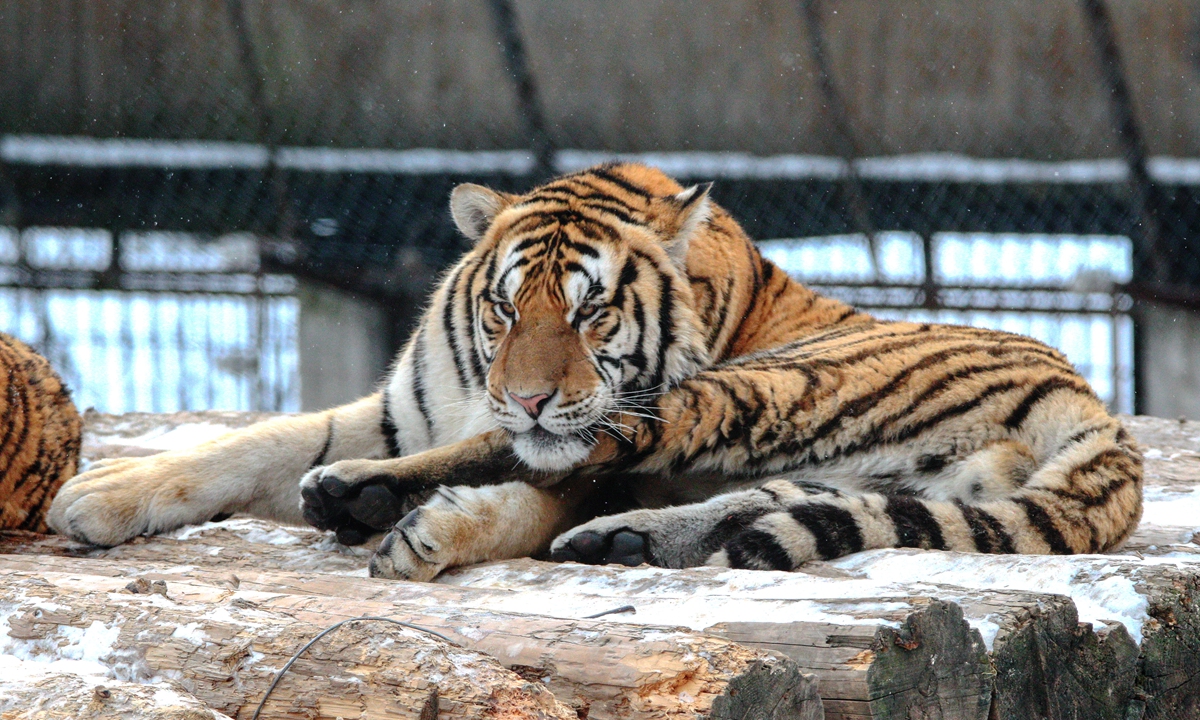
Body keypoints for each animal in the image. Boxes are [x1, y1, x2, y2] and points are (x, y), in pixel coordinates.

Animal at [48, 163, 1143, 582]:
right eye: (504, 308)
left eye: (589, 311)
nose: (530, 393)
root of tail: (1088, 402)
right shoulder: (396, 414)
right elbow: (249, 444)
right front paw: (100, 494)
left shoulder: (558, 436)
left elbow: (531, 479)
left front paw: (424, 528)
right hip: (852, 475)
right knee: (754, 510)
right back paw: (625, 539)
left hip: (765, 388)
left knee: (593, 460)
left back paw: (390, 509)